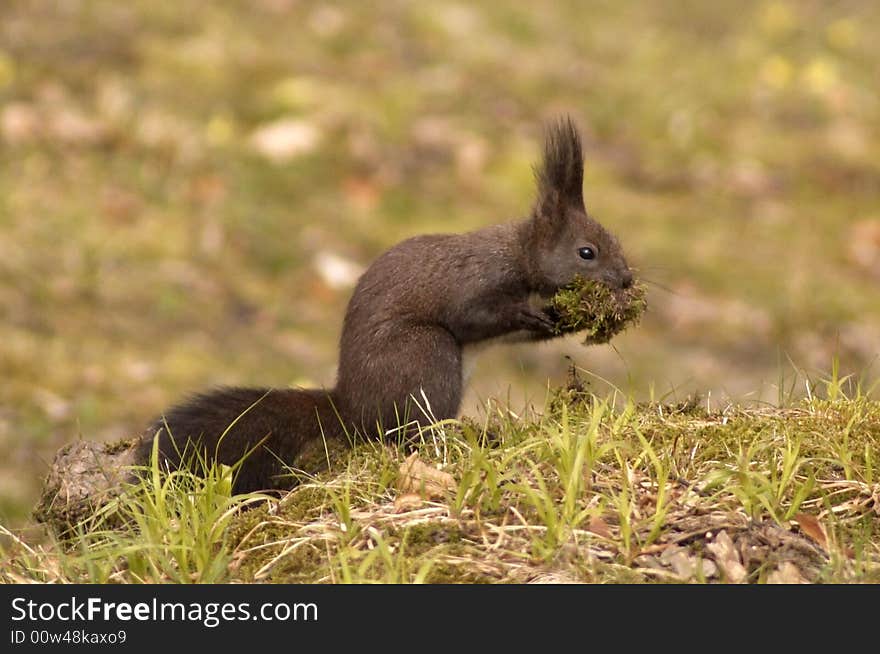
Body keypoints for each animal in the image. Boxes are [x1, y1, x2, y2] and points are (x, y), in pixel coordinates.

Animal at [132, 119, 632, 498]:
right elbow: (474, 316)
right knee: (404, 432)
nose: (627, 280)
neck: (517, 255)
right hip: (426, 354)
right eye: (587, 253)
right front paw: (532, 313)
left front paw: (564, 318)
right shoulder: (473, 283)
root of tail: (350, 408)